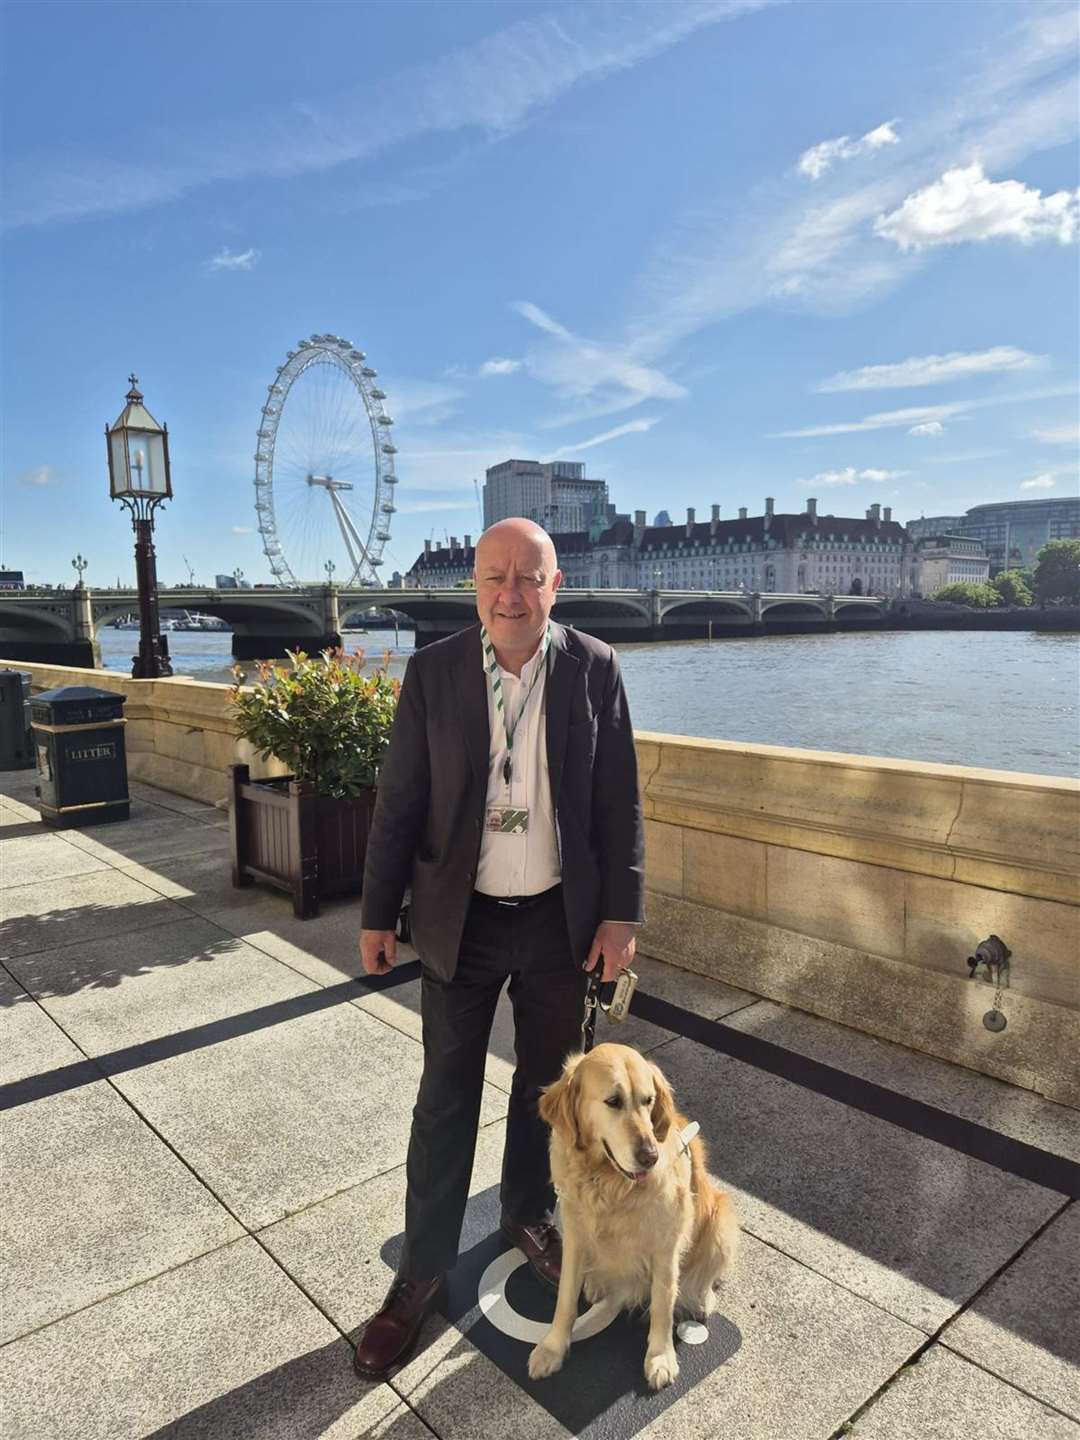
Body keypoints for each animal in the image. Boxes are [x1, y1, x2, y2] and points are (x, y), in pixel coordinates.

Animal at [529, 1042, 743, 1388]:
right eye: (613, 1101)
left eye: (648, 1100)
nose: (650, 1156)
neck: (608, 1183)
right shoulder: (574, 1235)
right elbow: (565, 1300)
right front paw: (552, 1348)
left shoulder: (665, 1248)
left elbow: (662, 1305)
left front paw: (660, 1358)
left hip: (721, 1221)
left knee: (703, 1277)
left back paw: (701, 1299)